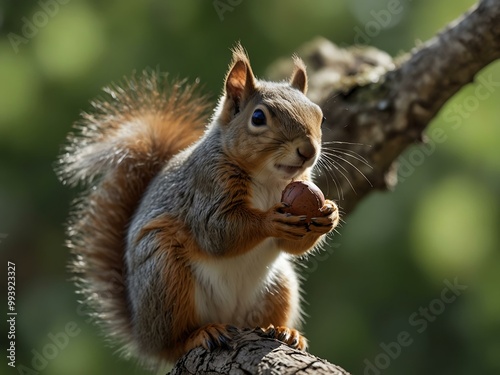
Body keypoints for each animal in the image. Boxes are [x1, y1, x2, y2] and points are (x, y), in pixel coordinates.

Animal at [58, 44, 340, 370]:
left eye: (320, 116)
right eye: (258, 117)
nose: (308, 151)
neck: (270, 179)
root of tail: (142, 336)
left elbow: (291, 245)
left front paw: (330, 213)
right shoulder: (205, 188)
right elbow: (217, 232)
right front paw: (269, 221)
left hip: (279, 285)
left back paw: (284, 332)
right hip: (165, 276)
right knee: (172, 344)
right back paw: (198, 335)